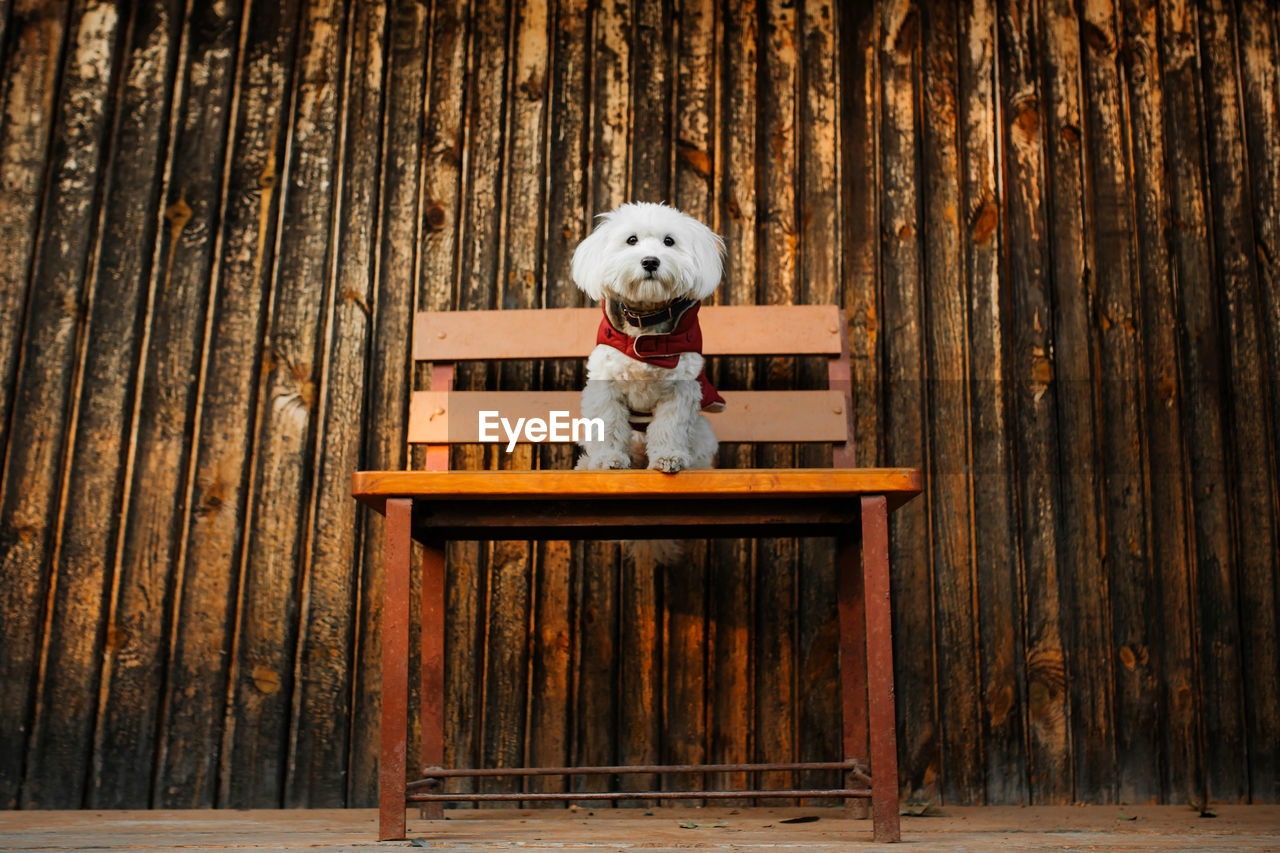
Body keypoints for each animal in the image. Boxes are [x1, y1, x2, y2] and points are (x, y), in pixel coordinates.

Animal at [576, 203, 727, 473]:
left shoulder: (680, 390)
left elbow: (669, 427)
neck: (645, 323)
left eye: (669, 241)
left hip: (703, 433)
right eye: (631, 240)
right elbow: (609, 424)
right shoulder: (606, 387)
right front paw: (608, 458)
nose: (650, 261)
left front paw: (668, 457)